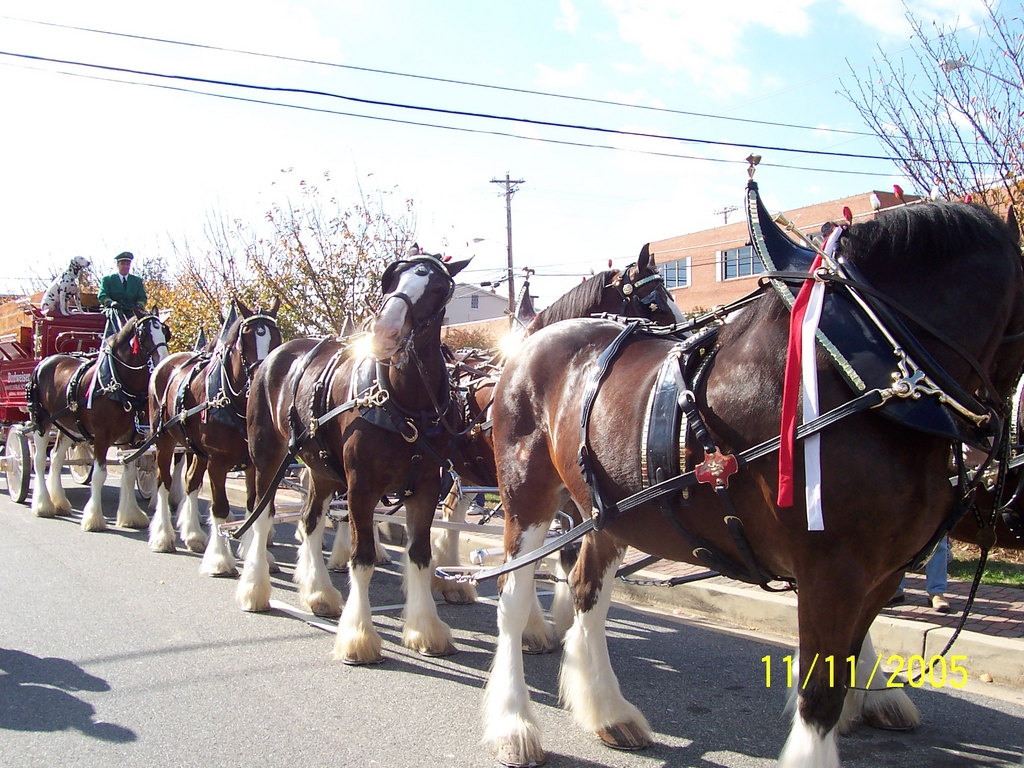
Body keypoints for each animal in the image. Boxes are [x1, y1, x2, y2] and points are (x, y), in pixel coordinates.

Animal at [26, 315, 172, 532]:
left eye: (165, 331)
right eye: (143, 333)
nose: (163, 363)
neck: (118, 386)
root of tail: (45, 361)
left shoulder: (132, 440)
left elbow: (129, 475)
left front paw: (130, 516)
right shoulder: (102, 437)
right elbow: (99, 475)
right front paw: (93, 518)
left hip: (68, 426)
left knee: (56, 458)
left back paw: (59, 502)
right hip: (42, 423)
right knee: (38, 459)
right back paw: (43, 504)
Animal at [146, 296, 282, 573]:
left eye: (277, 337)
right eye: (245, 339)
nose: (263, 380)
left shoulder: (254, 463)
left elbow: (253, 507)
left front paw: (254, 555)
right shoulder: (218, 462)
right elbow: (220, 507)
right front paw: (220, 559)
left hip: (196, 450)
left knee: (190, 482)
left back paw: (193, 535)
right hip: (164, 440)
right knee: (164, 481)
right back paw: (163, 536)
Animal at [237, 249, 468, 663]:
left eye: (438, 287)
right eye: (391, 279)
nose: (384, 333)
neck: (404, 404)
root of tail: (274, 357)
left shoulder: (426, 486)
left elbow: (420, 554)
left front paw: (425, 629)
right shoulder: (361, 488)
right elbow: (362, 559)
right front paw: (358, 637)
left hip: (320, 469)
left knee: (310, 521)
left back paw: (319, 593)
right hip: (266, 458)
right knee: (262, 518)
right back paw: (255, 589)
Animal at [483, 186, 1024, 768]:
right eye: (652, 299)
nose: (1003, 478)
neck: (875, 377)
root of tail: (527, 347)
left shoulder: (882, 573)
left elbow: (844, 664)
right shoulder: (833, 570)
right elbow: (821, 689)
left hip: (609, 512)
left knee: (588, 592)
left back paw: (608, 711)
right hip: (527, 499)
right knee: (513, 600)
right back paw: (513, 722)